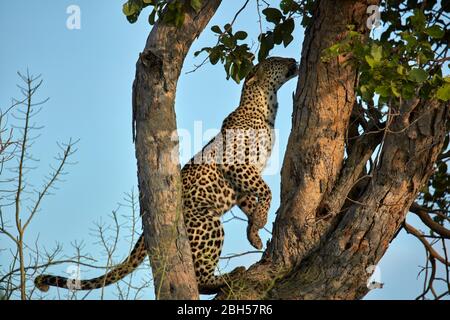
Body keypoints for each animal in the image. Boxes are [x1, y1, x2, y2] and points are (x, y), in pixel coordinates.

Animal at [34, 55, 298, 296]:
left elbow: (251, 200)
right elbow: (266, 190)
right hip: (207, 221)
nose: (293, 59)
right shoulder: (235, 163)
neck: (266, 107)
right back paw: (229, 277)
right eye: (275, 60)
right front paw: (261, 221)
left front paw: (254, 232)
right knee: (200, 279)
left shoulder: (242, 182)